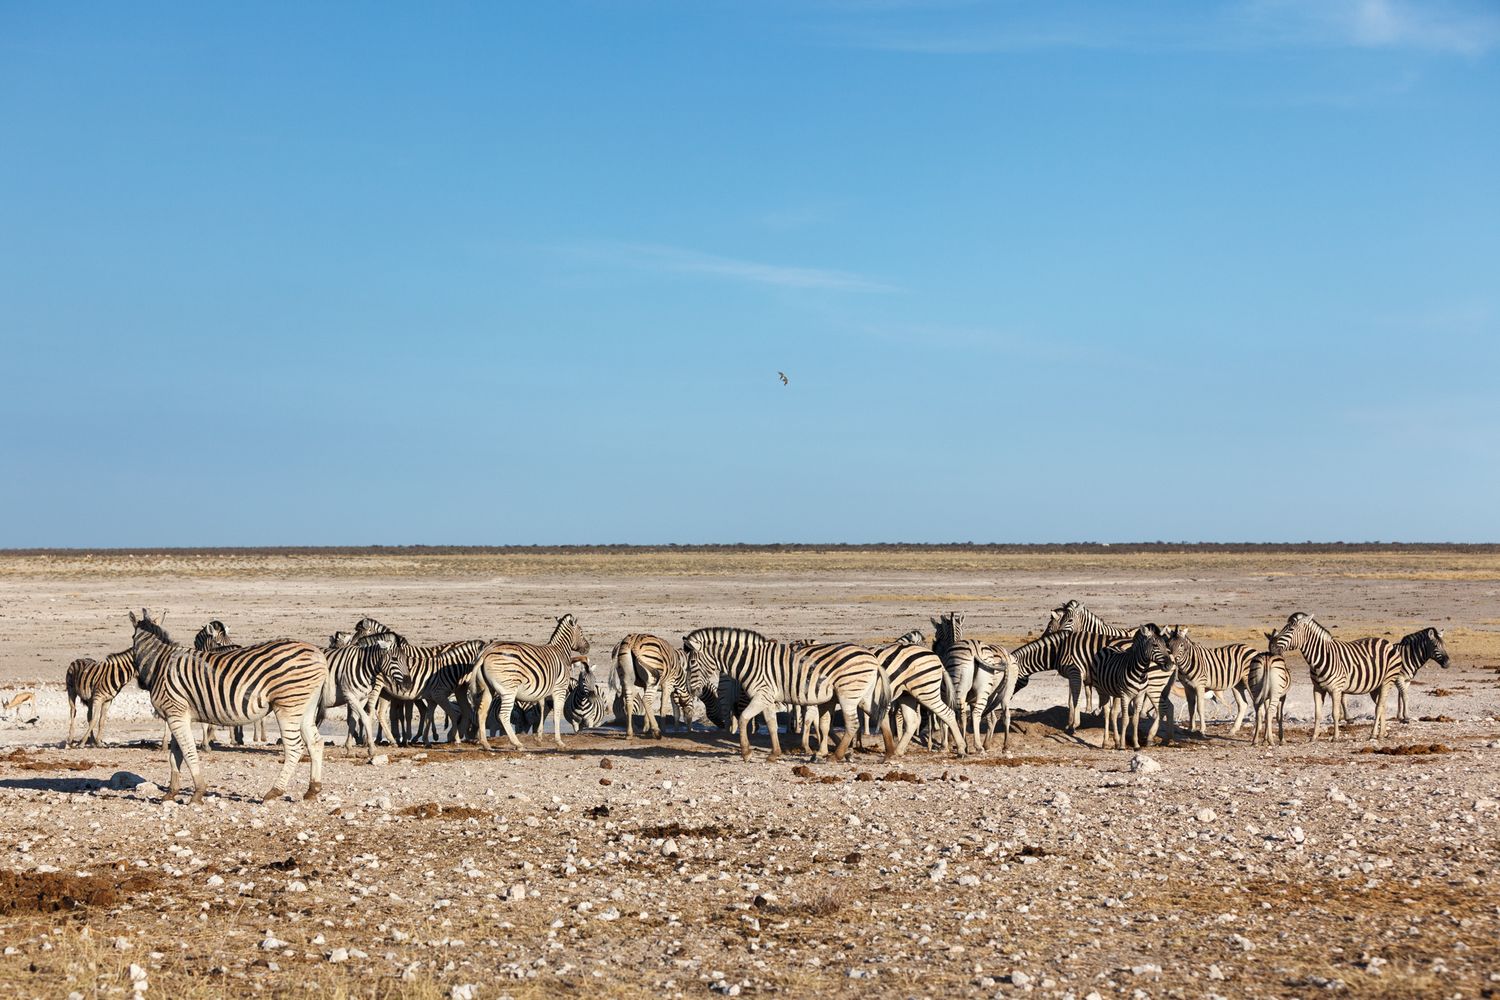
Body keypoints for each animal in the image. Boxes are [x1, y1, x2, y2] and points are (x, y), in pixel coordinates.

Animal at [128, 609, 333, 803]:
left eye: (132, 639)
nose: (140, 684)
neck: (160, 663)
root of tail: (318, 654)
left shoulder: (176, 714)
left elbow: (188, 752)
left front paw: (198, 792)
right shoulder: (176, 716)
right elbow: (175, 755)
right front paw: (171, 793)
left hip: (288, 705)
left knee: (295, 747)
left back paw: (274, 792)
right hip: (306, 706)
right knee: (315, 742)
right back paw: (312, 790)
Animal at [468, 614, 591, 751]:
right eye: (581, 632)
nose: (588, 647)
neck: (560, 651)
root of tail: (485, 652)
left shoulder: (544, 691)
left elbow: (543, 711)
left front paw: (539, 738)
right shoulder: (560, 689)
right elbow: (556, 715)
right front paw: (559, 742)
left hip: (488, 688)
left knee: (481, 712)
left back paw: (486, 744)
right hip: (509, 690)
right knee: (503, 715)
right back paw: (517, 744)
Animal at [681, 627, 894, 763]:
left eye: (691, 662)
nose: (692, 690)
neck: (750, 661)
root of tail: (873, 657)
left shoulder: (761, 694)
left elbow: (743, 719)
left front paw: (746, 753)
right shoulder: (767, 698)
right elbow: (772, 725)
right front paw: (774, 754)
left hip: (848, 693)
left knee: (853, 724)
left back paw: (836, 756)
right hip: (863, 695)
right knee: (880, 715)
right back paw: (889, 753)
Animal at [1269, 612, 1403, 741]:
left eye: (1291, 629)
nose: (1271, 646)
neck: (1319, 658)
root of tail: (1387, 642)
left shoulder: (1336, 689)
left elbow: (1335, 713)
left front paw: (1335, 737)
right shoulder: (1317, 688)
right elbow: (1317, 713)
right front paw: (1314, 737)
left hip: (1387, 680)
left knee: (1379, 707)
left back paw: (1373, 734)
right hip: (1375, 687)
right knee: (1382, 706)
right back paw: (1382, 733)